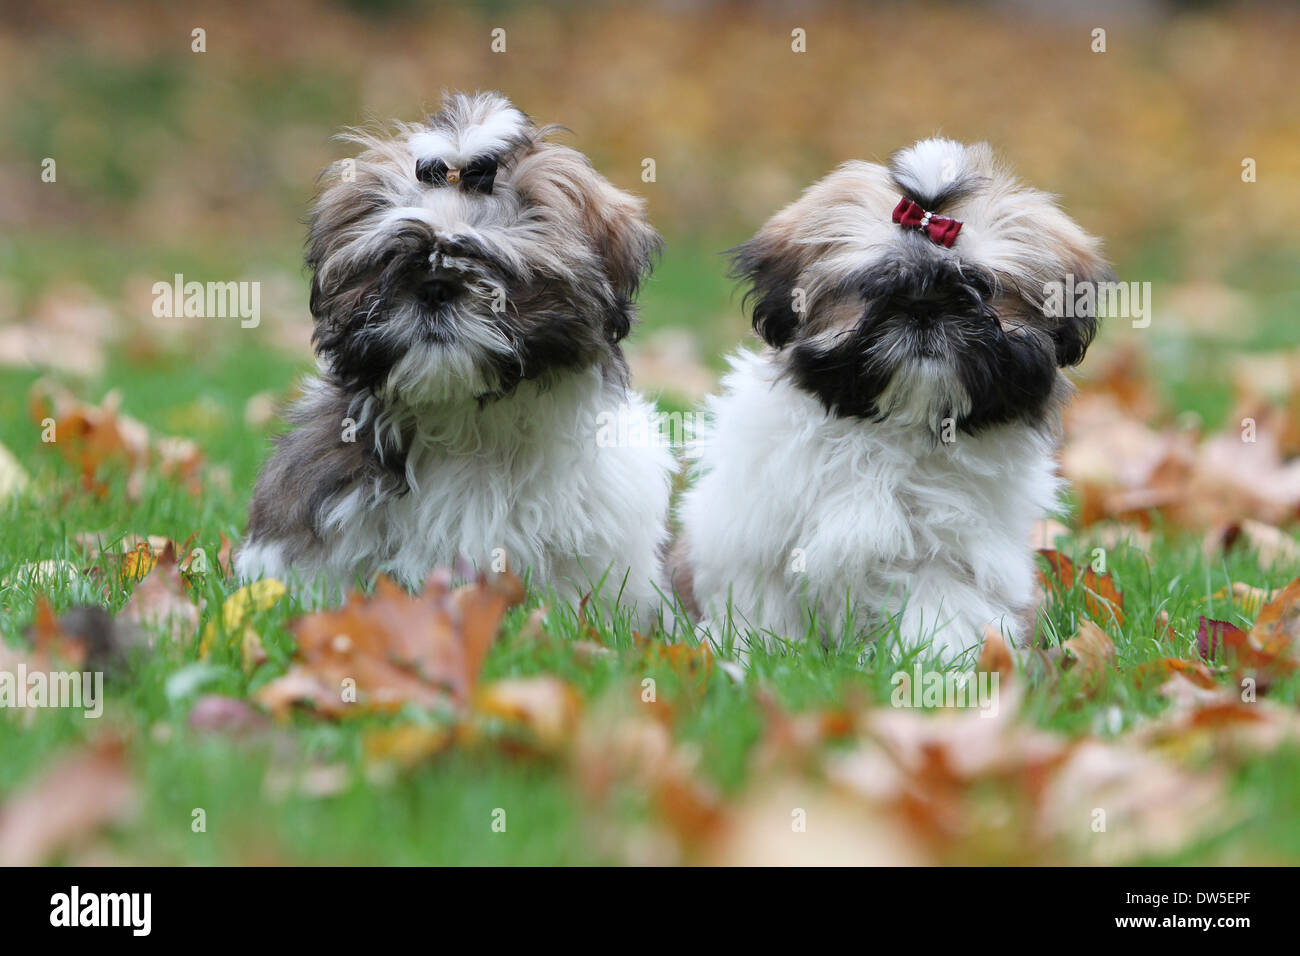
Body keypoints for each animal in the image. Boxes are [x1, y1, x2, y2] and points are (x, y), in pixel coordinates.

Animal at [676, 138, 1112, 660]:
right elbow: (762, 602)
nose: (924, 309)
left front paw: (939, 663)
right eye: (872, 286)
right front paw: (758, 653)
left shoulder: (947, 553)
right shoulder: (755, 534)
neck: (890, 431)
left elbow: (941, 607)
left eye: (980, 287)